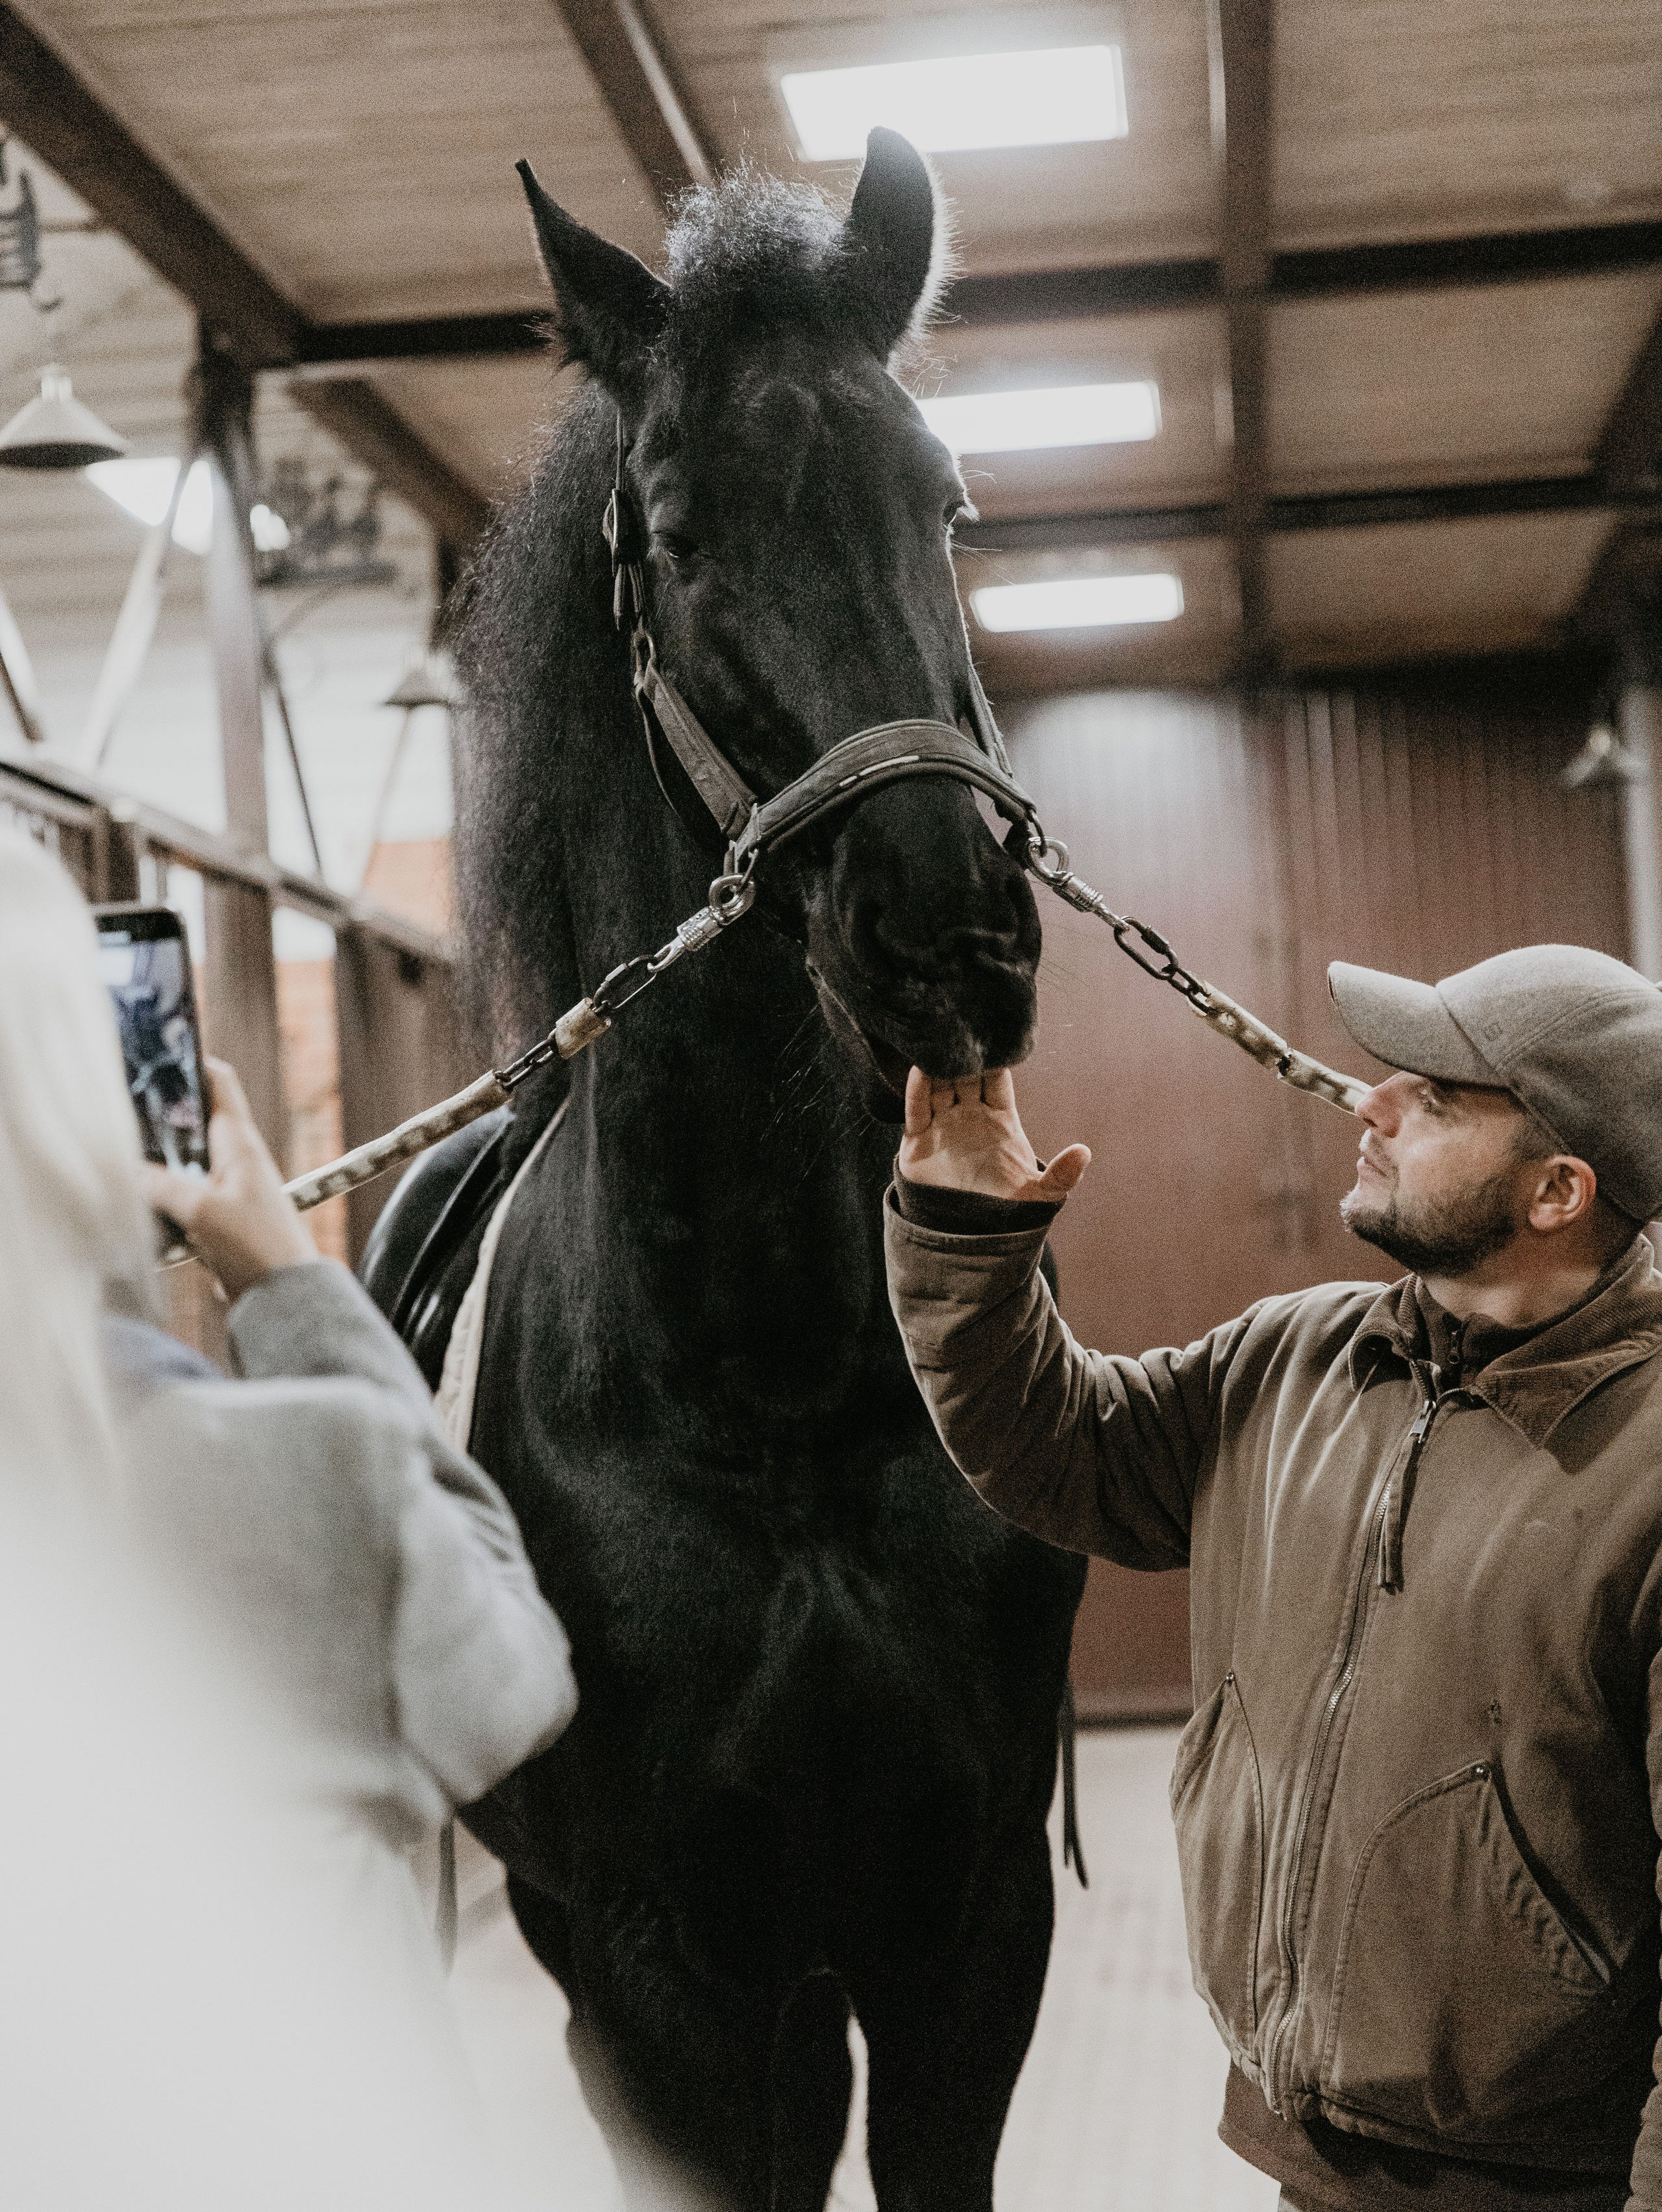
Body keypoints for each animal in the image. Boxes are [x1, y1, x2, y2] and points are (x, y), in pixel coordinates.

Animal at [364, 128, 1087, 2212]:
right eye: (674, 532)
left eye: (945, 501)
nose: (945, 930)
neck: (782, 1391)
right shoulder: (658, 1965)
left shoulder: (965, 1928)